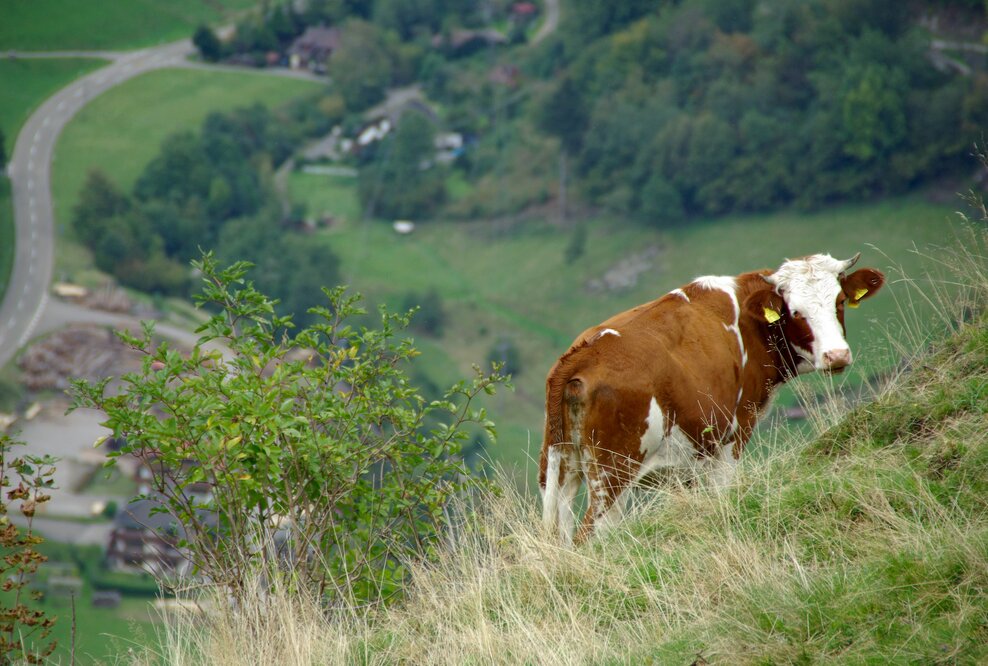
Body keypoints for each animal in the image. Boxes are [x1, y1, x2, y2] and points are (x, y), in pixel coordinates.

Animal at [540, 253, 884, 543]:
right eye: (796, 312)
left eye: (839, 300)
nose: (836, 356)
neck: (749, 324)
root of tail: (585, 352)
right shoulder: (734, 434)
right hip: (613, 473)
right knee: (590, 535)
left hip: (561, 467)